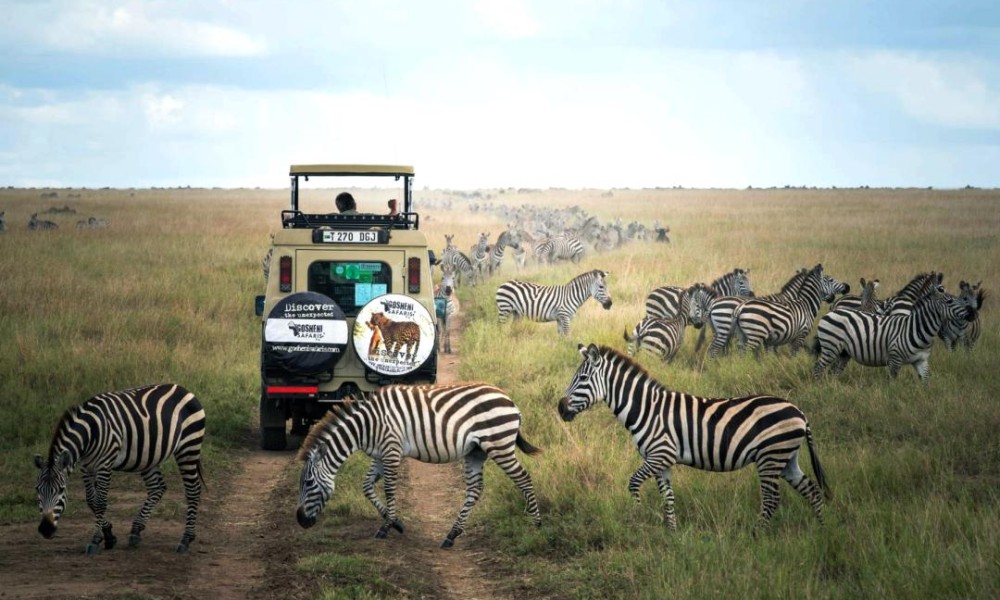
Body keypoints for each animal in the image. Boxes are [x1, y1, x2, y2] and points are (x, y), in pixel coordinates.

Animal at [34, 384, 206, 552]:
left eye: (61, 490)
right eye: (37, 489)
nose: (45, 530)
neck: (91, 431)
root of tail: (183, 389)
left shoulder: (105, 465)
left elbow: (100, 502)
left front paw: (95, 540)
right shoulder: (86, 467)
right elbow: (91, 500)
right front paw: (109, 535)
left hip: (188, 446)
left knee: (193, 490)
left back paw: (186, 539)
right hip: (148, 456)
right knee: (157, 487)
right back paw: (136, 531)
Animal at [296, 384, 544, 548]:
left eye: (308, 483)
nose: (300, 521)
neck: (366, 425)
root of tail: (510, 400)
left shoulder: (391, 451)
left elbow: (389, 489)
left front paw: (386, 527)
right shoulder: (380, 455)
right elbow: (366, 487)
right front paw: (396, 523)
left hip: (499, 445)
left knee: (524, 478)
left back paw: (536, 524)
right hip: (477, 452)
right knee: (475, 490)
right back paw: (451, 535)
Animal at [560, 344, 832, 532]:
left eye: (582, 379)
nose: (560, 409)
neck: (646, 409)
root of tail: (799, 412)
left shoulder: (660, 454)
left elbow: (633, 483)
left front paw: (636, 514)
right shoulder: (662, 461)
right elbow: (668, 497)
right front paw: (671, 533)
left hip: (770, 457)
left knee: (772, 499)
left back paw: (757, 534)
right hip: (786, 459)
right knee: (812, 490)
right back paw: (821, 529)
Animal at [812, 278, 976, 382]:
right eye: (950, 301)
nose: (973, 313)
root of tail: (832, 311)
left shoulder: (922, 361)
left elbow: (926, 382)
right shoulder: (894, 360)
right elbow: (892, 385)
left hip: (843, 352)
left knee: (834, 371)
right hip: (831, 347)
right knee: (818, 368)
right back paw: (820, 389)